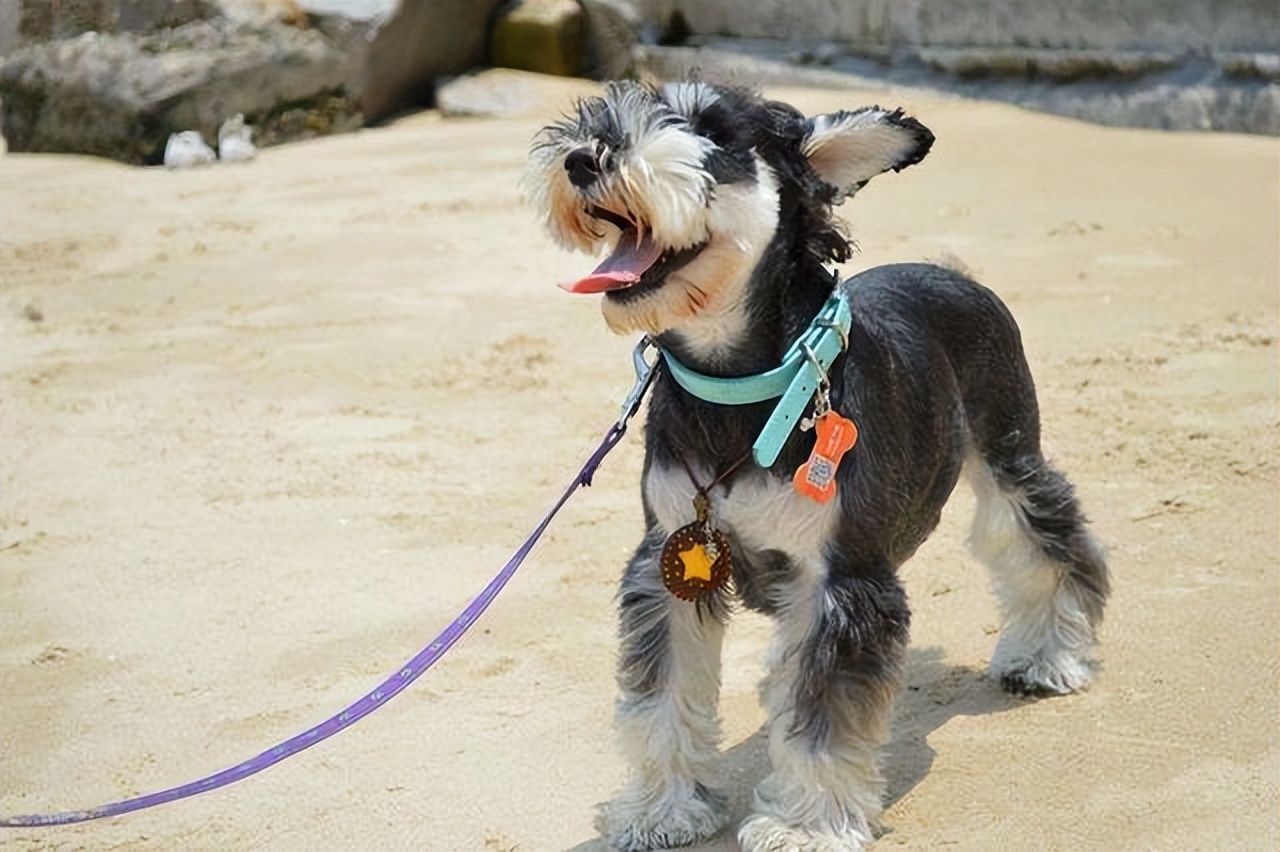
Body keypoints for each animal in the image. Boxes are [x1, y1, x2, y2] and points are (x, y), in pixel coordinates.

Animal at [519, 81, 1111, 849]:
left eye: (713, 132)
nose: (584, 158)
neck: (742, 388)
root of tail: (952, 273)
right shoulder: (664, 568)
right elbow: (661, 700)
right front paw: (662, 810)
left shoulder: (842, 583)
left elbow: (823, 722)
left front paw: (806, 826)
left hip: (1009, 450)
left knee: (1045, 539)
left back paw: (1049, 656)